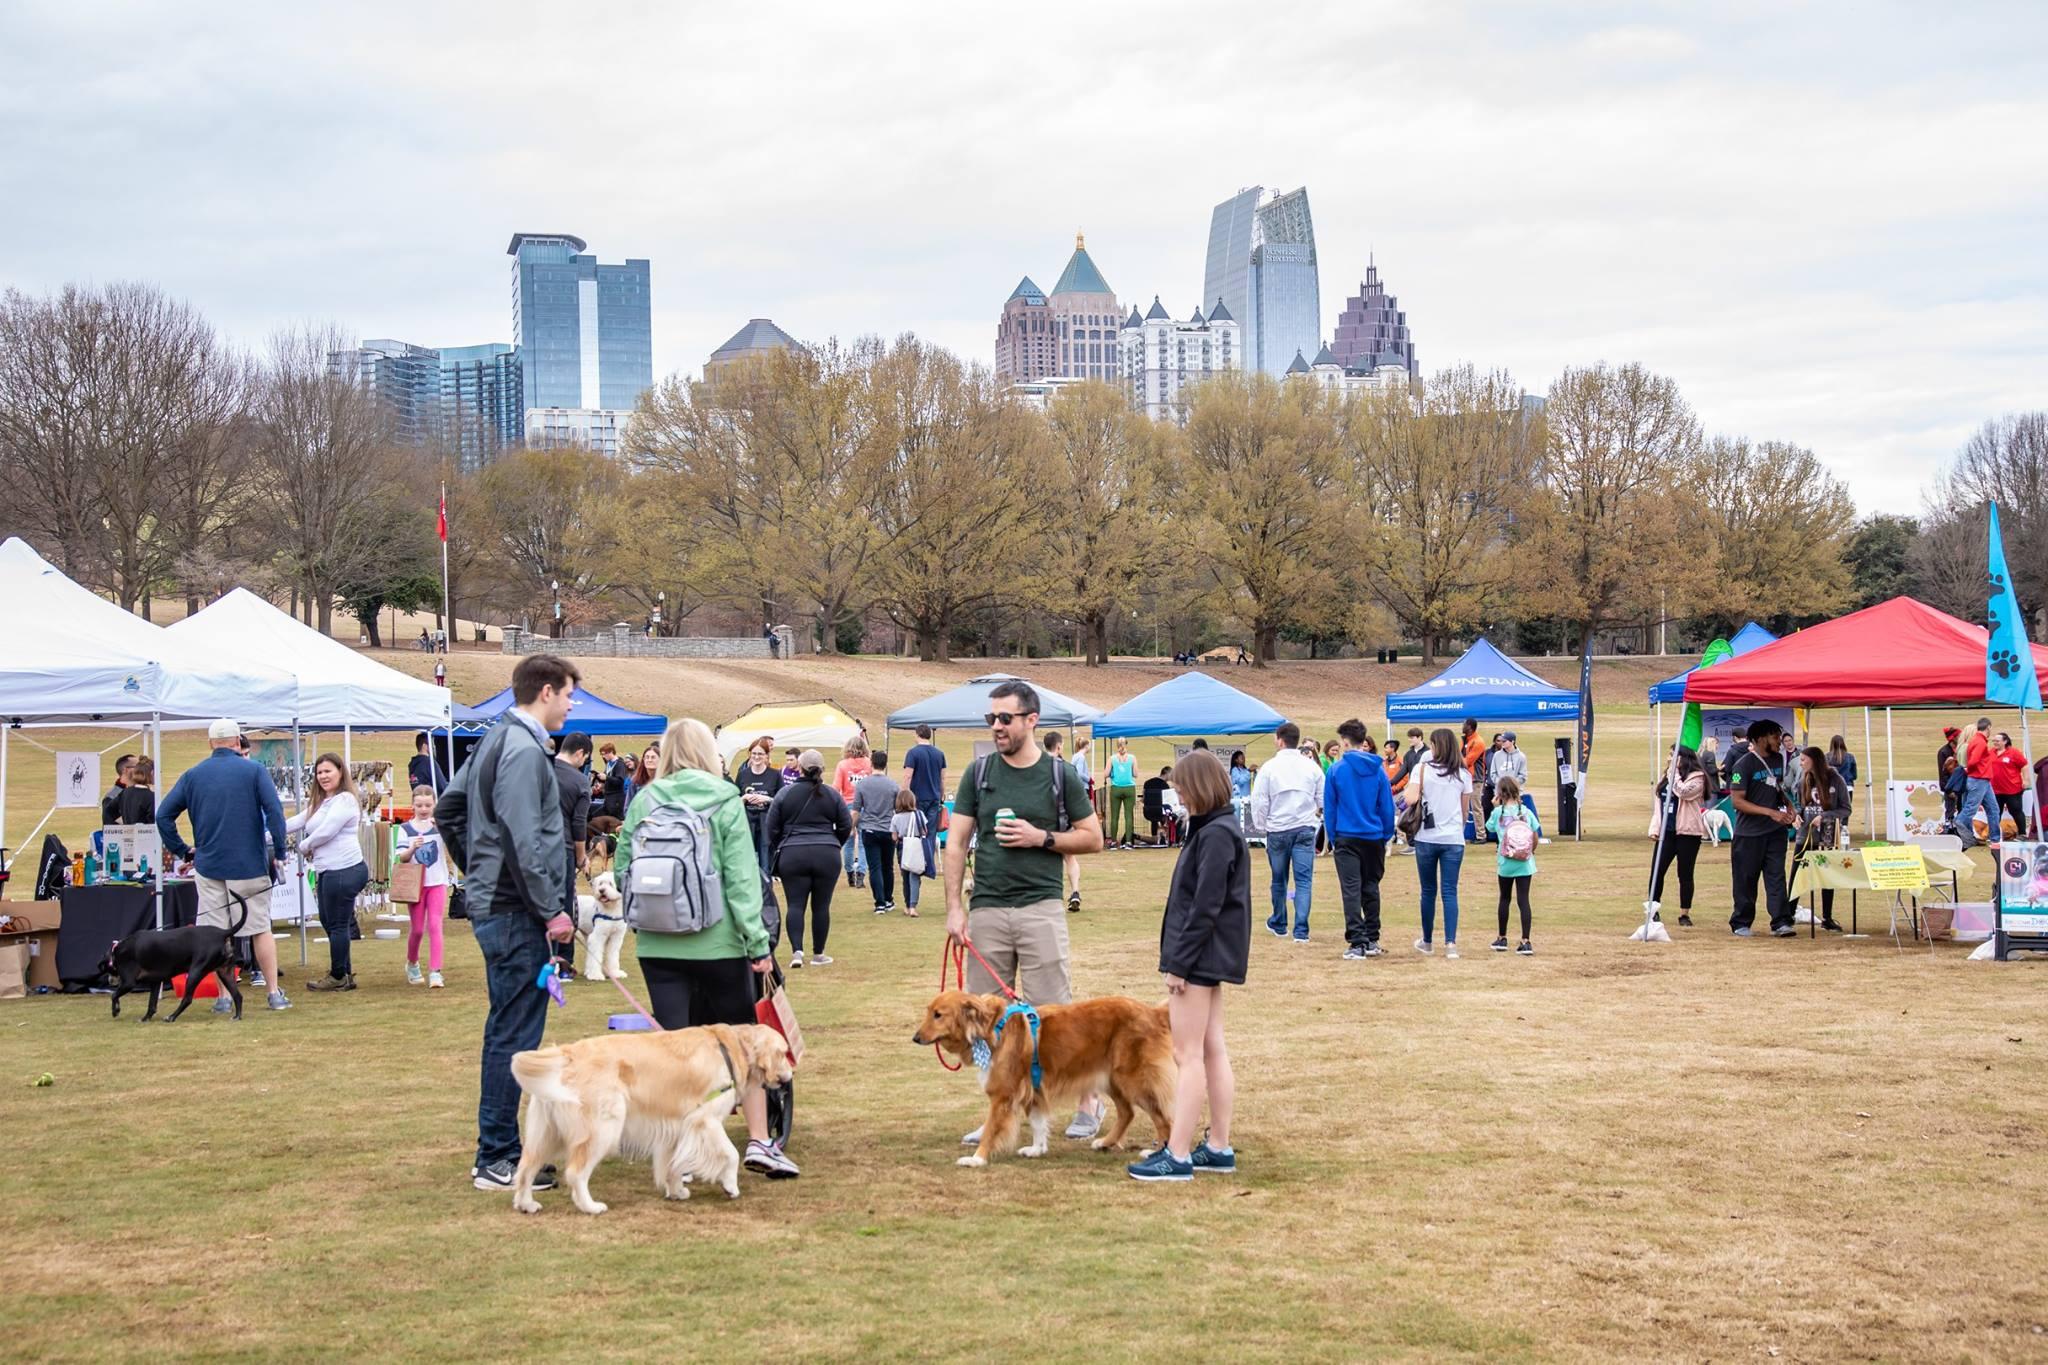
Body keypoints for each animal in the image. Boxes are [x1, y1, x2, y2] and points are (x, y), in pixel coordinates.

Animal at [99, 892, 247, 1019]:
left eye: (107, 969)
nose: (109, 982)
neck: (117, 951)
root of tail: (222, 933)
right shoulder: (155, 981)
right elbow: (152, 1003)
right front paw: (146, 1018)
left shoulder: (128, 982)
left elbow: (114, 995)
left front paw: (115, 1011)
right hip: (225, 972)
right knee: (238, 996)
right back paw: (237, 1016)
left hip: (195, 972)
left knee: (187, 999)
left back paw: (172, 1017)